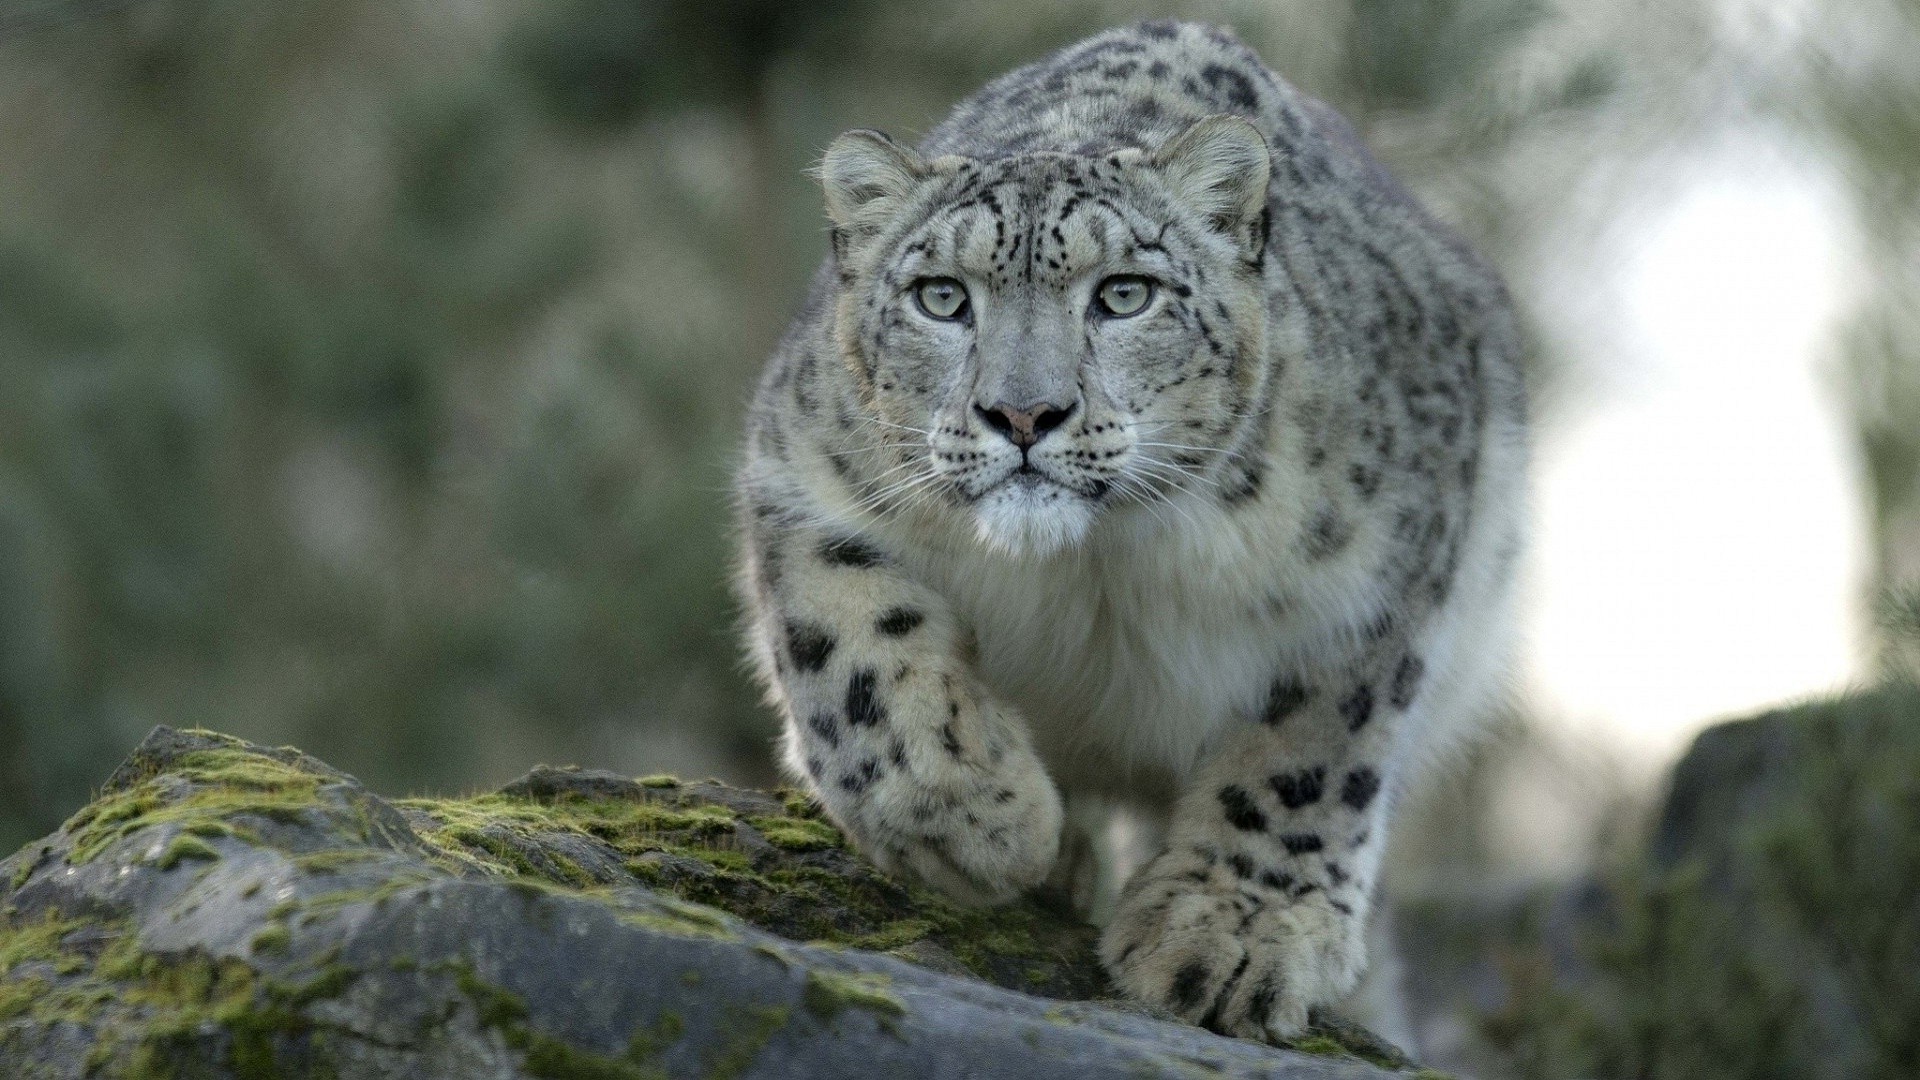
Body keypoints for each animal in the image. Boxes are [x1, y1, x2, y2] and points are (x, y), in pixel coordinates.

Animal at [733, 18, 1528, 1045]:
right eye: (942, 296)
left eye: (1124, 294)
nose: (1023, 414)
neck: (1096, 567)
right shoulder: (801, 475)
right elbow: (854, 650)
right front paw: (979, 819)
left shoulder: (1383, 573)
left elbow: (1310, 750)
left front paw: (1231, 936)